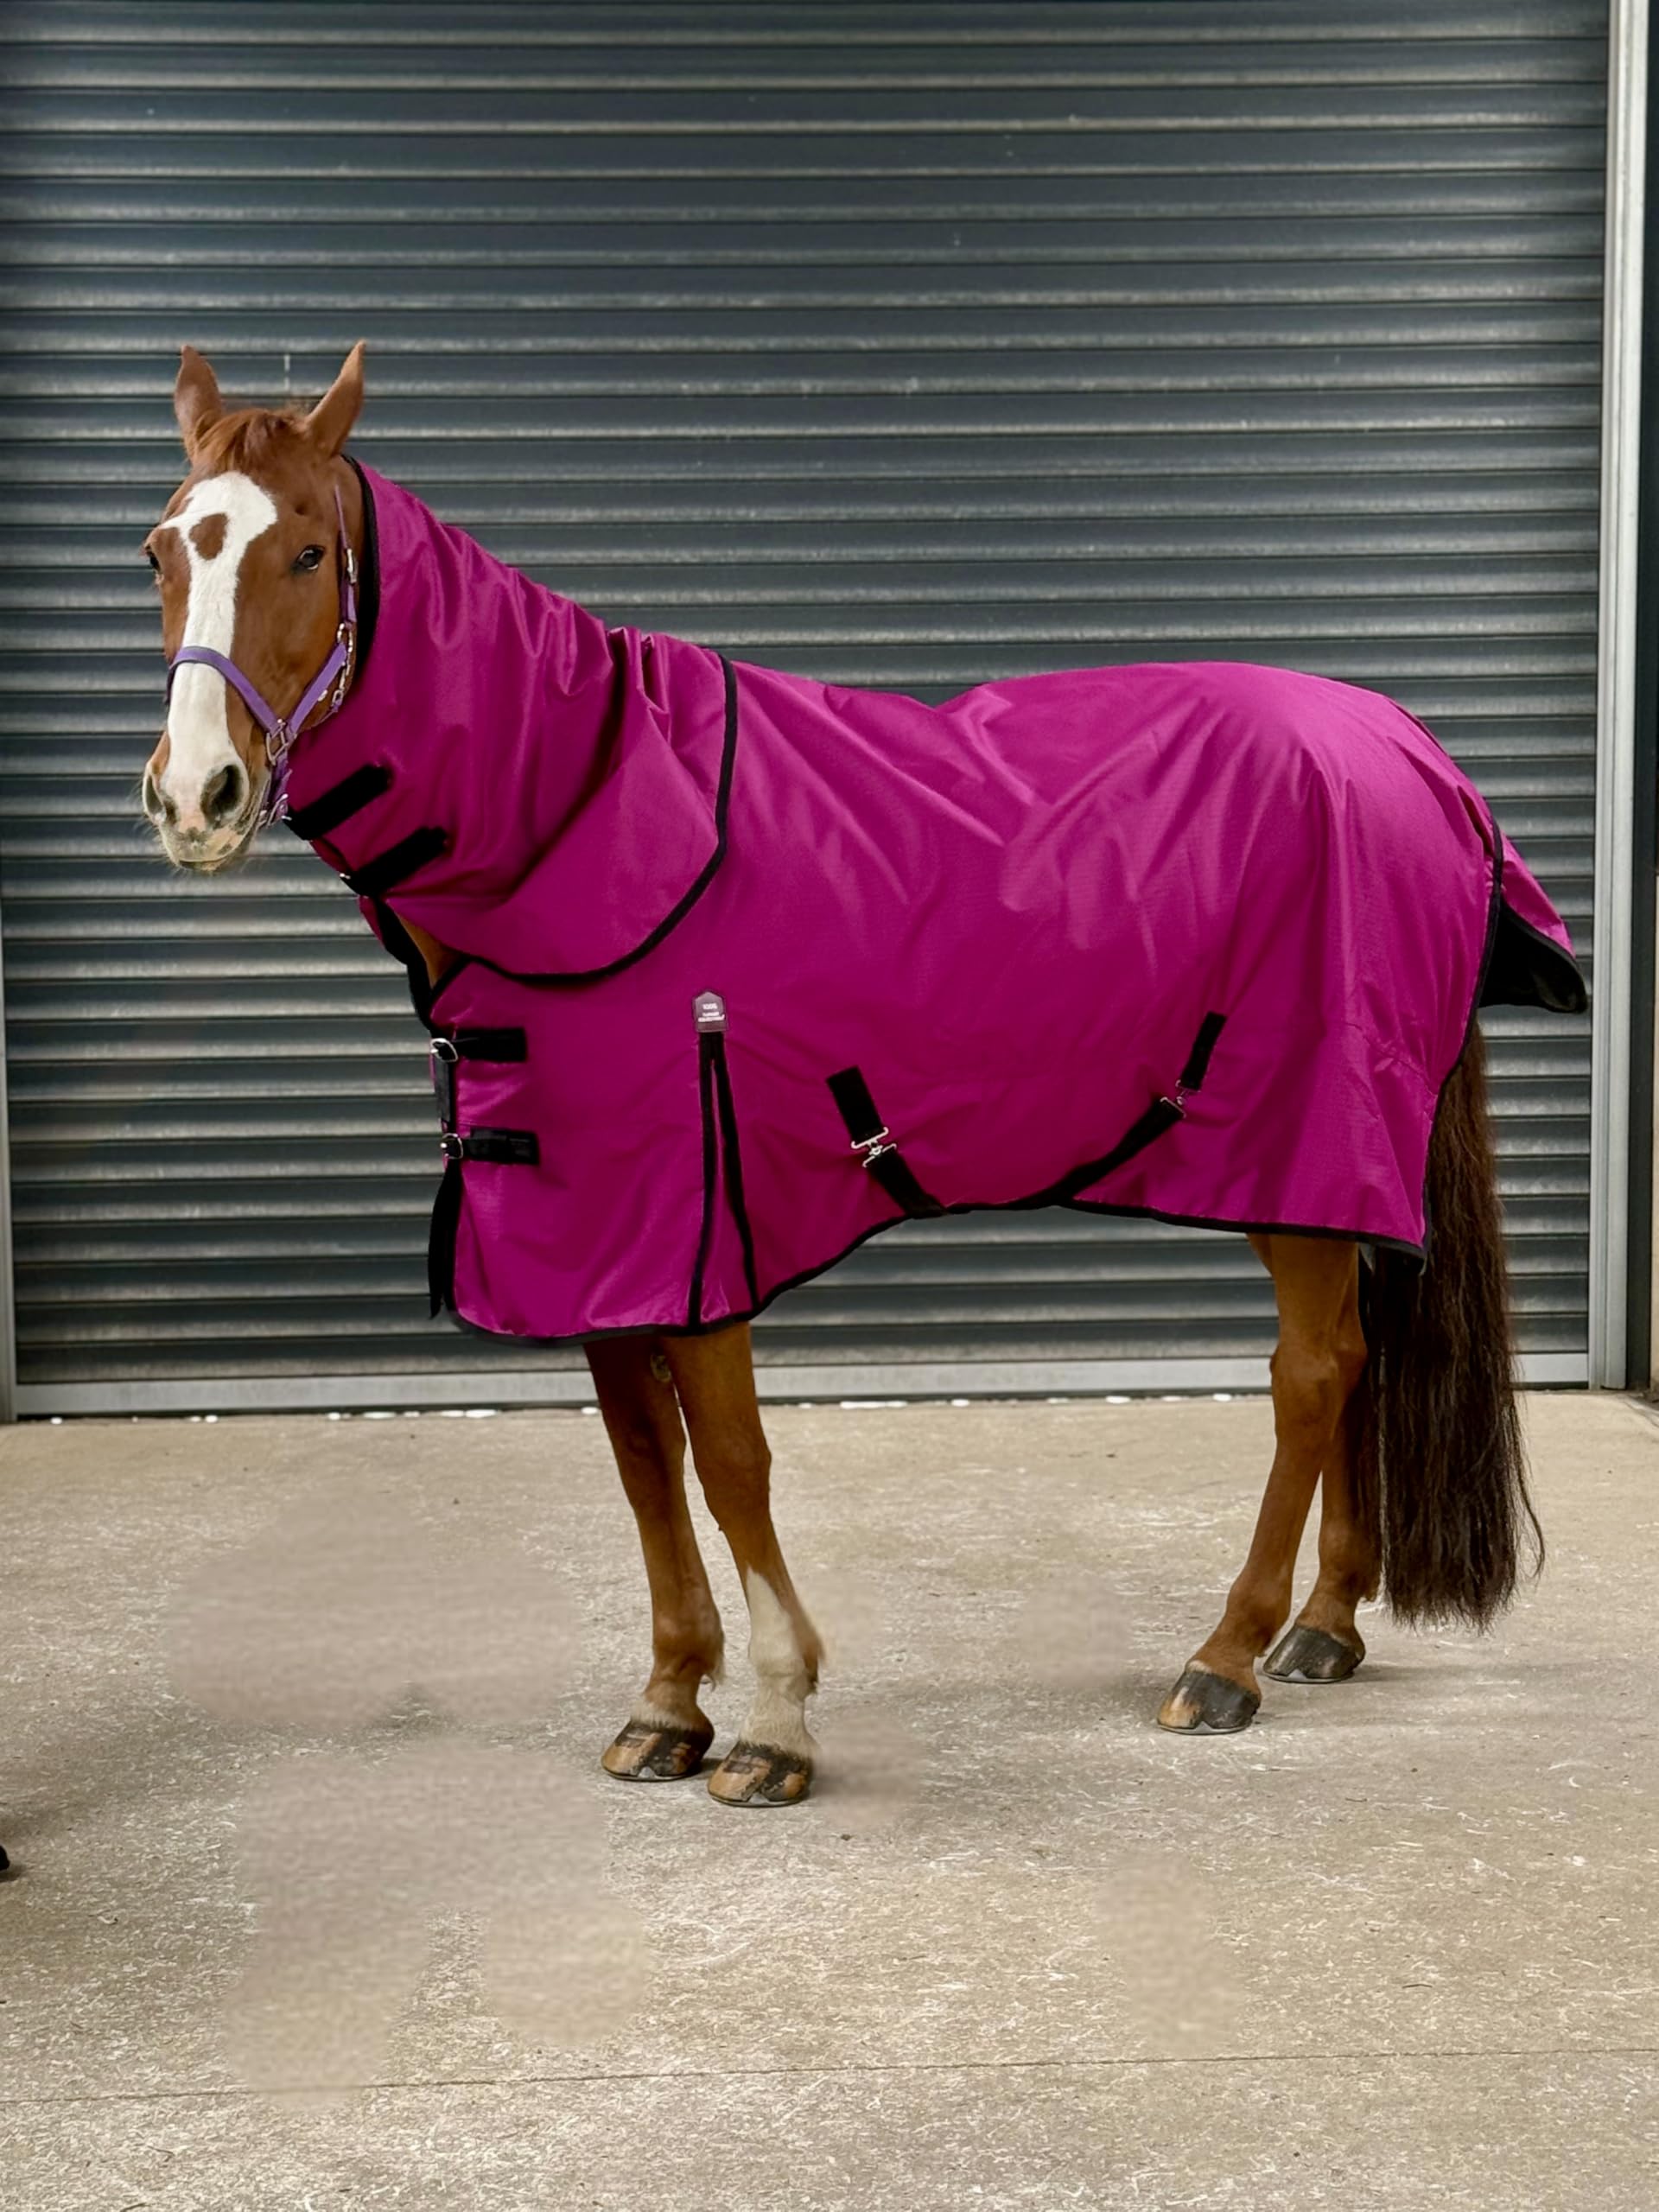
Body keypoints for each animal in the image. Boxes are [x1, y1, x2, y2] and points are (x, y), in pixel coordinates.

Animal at [136, 341, 1582, 1810]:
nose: (195, 797)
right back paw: (1324, 1627)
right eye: (160, 553)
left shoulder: (703, 1215)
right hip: (1304, 1174)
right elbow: (642, 1459)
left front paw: (776, 1721)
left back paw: (1226, 1657)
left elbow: (730, 1463)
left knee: (1311, 1375)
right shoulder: (597, 1234)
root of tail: (1413, 752)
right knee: (1350, 1364)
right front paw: (669, 1702)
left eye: (308, 551)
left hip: (1304, 1141)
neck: (589, 816)